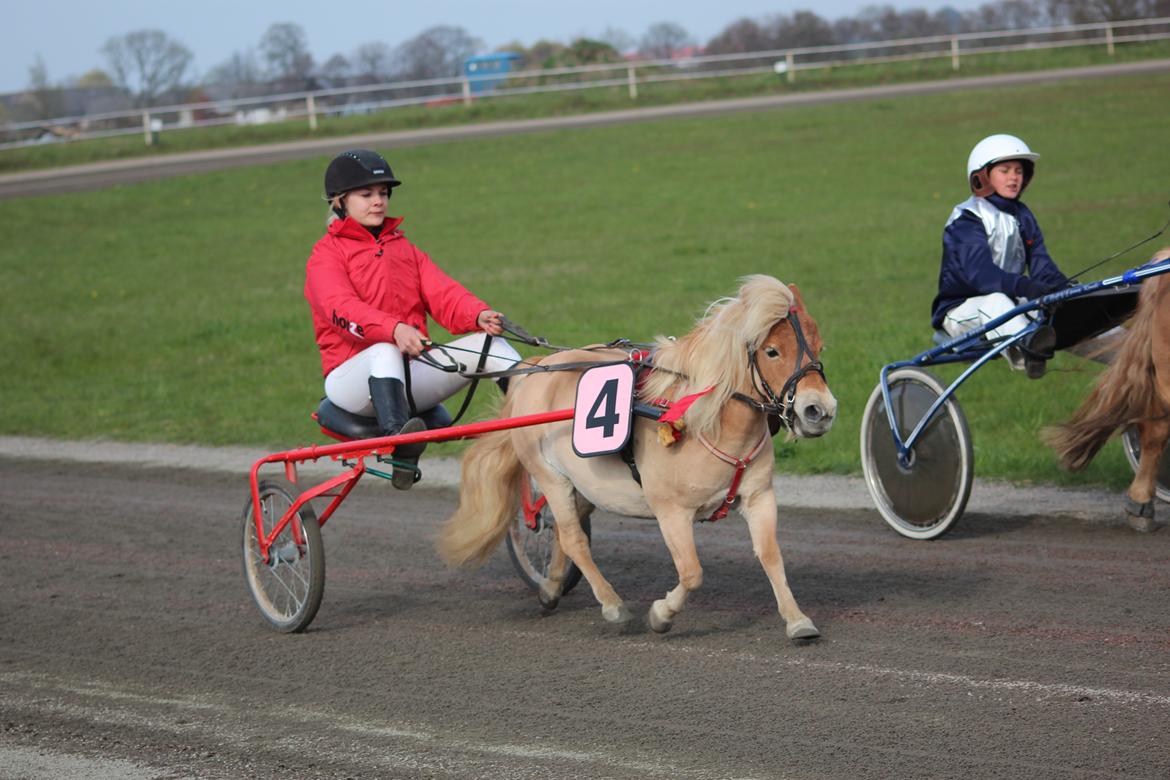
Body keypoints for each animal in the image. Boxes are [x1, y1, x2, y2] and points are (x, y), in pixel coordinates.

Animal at [437, 274, 833, 640]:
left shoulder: (759, 497)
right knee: (571, 537)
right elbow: (692, 572)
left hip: (585, 483)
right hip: (550, 476)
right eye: (772, 351)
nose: (819, 411)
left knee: (565, 532)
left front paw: (797, 620)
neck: (702, 417)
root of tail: (536, 368)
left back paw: (550, 587)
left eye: (819, 345)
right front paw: (661, 615)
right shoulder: (672, 511)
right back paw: (612, 605)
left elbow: (771, 556)